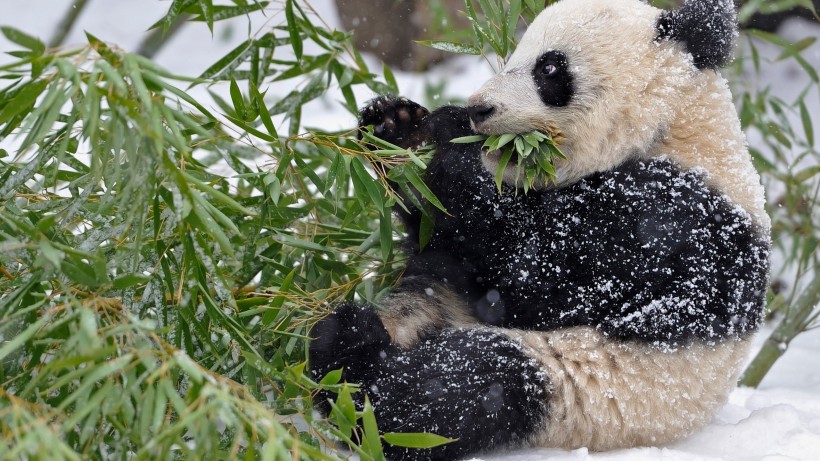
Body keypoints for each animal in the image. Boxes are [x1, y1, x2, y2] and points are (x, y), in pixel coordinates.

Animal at [308, 0, 768, 460]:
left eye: (548, 68)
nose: (478, 108)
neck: (675, 125)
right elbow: (443, 237)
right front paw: (396, 126)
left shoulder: (670, 217)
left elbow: (536, 273)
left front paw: (446, 134)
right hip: (436, 301)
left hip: (581, 386)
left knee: (466, 386)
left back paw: (349, 351)